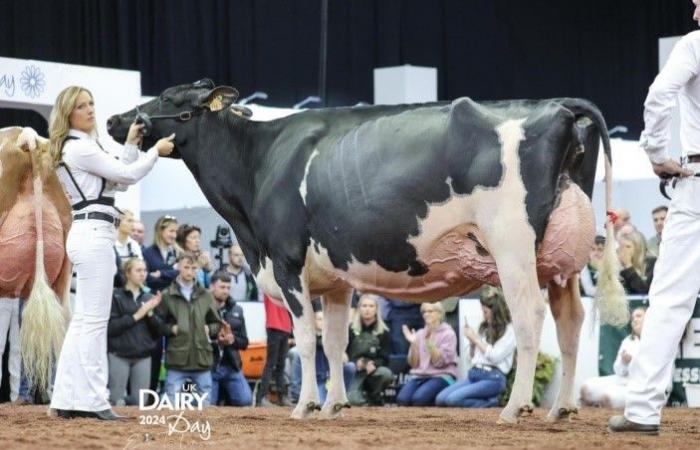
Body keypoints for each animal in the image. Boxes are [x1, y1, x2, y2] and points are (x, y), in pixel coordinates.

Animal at [106, 80, 628, 422]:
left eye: (170, 99)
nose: (114, 120)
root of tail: (558, 105)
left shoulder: (288, 262)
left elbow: (306, 340)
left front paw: (304, 405)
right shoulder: (337, 279)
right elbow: (335, 343)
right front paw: (334, 403)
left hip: (513, 246)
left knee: (529, 318)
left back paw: (516, 408)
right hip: (559, 260)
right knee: (570, 321)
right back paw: (561, 408)